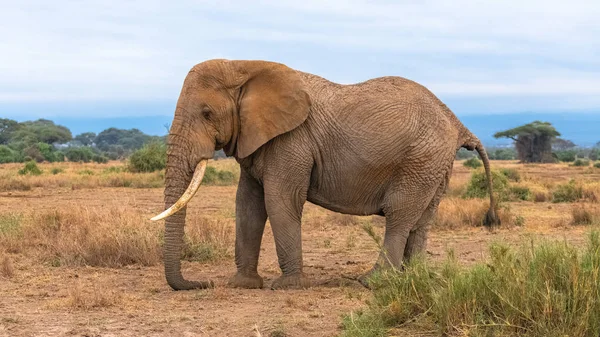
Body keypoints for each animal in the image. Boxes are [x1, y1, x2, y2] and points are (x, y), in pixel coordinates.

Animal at [152, 59, 500, 290]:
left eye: (206, 113)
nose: (201, 284)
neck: (244, 66)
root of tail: (457, 123)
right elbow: (248, 206)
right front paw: (242, 284)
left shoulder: (292, 140)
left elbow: (279, 201)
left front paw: (287, 286)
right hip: (435, 164)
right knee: (421, 221)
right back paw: (413, 278)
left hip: (421, 159)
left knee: (400, 215)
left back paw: (372, 281)